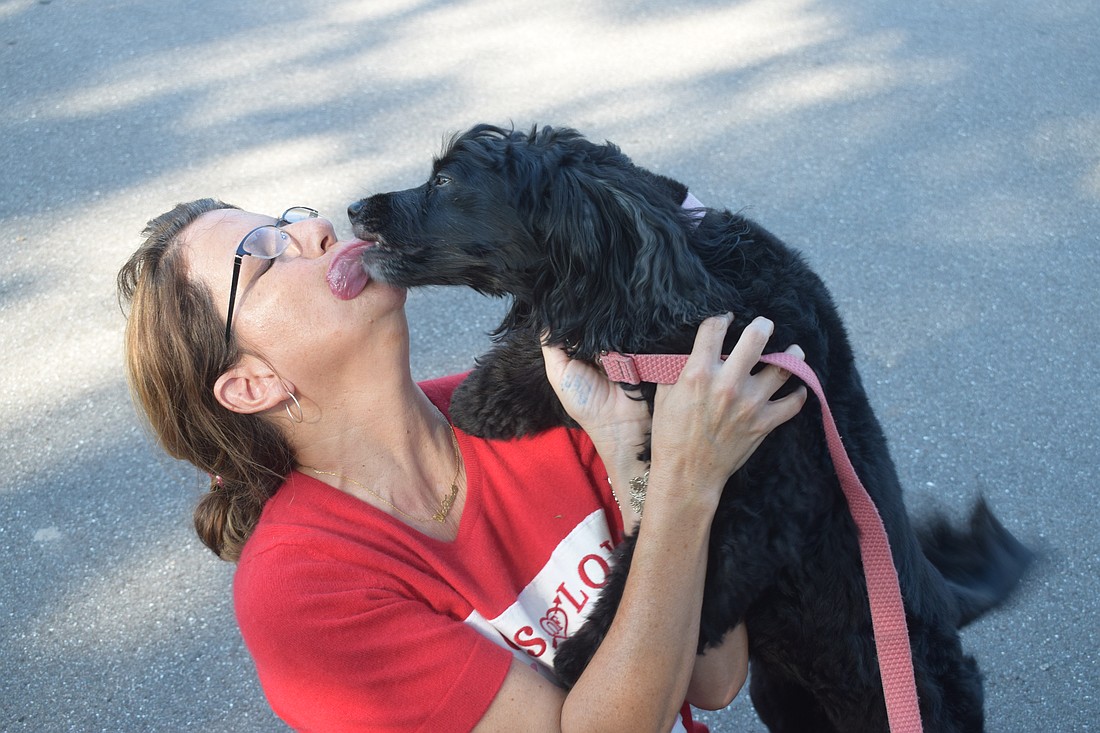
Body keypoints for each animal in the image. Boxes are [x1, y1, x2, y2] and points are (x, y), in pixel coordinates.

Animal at [349, 125, 1029, 730]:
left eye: (444, 181)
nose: (356, 207)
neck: (700, 279)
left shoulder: (759, 504)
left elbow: (652, 576)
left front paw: (586, 658)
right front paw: (487, 395)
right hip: (783, 696)